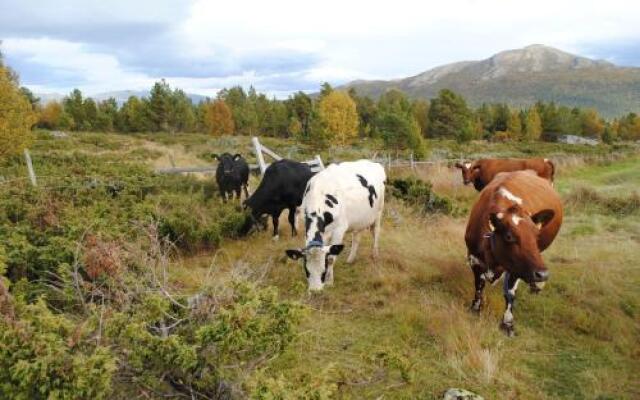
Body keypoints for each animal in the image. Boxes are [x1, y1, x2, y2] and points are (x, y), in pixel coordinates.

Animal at [286, 159, 384, 290]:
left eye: (323, 271)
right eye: (307, 271)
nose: (315, 291)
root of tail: (373, 162)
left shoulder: (339, 230)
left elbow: (331, 257)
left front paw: (329, 281)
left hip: (378, 212)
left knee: (376, 232)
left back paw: (375, 255)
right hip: (360, 219)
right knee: (357, 236)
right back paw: (351, 259)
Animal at [462, 170, 564, 336]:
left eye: (536, 235)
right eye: (509, 236)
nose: (543, 274)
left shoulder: (516, 267)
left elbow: (509, 293)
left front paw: (507, 324)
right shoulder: (474, 258)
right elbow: (478, 285)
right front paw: (475, 308)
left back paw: (535, 286)